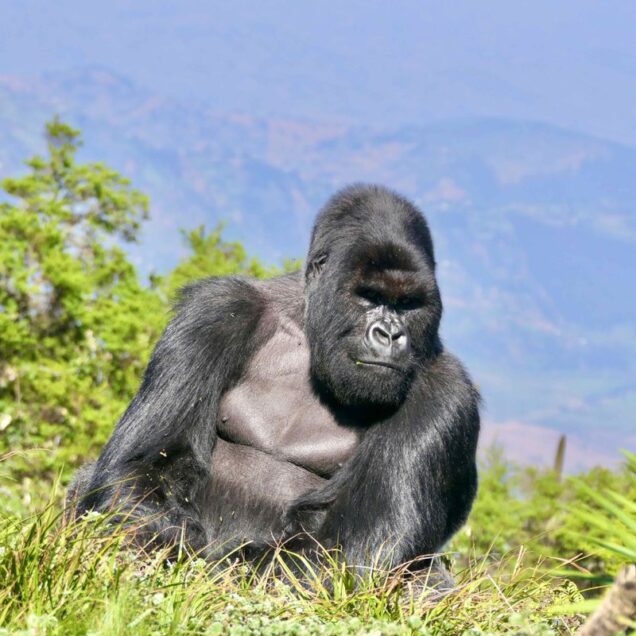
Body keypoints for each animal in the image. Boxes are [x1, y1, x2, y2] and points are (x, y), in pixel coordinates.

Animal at [72, 183, 480, 572]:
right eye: (369, 296)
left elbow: (360, 546)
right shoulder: (218, 310)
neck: (311, 328)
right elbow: (140, 469)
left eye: (409, 304)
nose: (390, 334)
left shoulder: (445, 389)